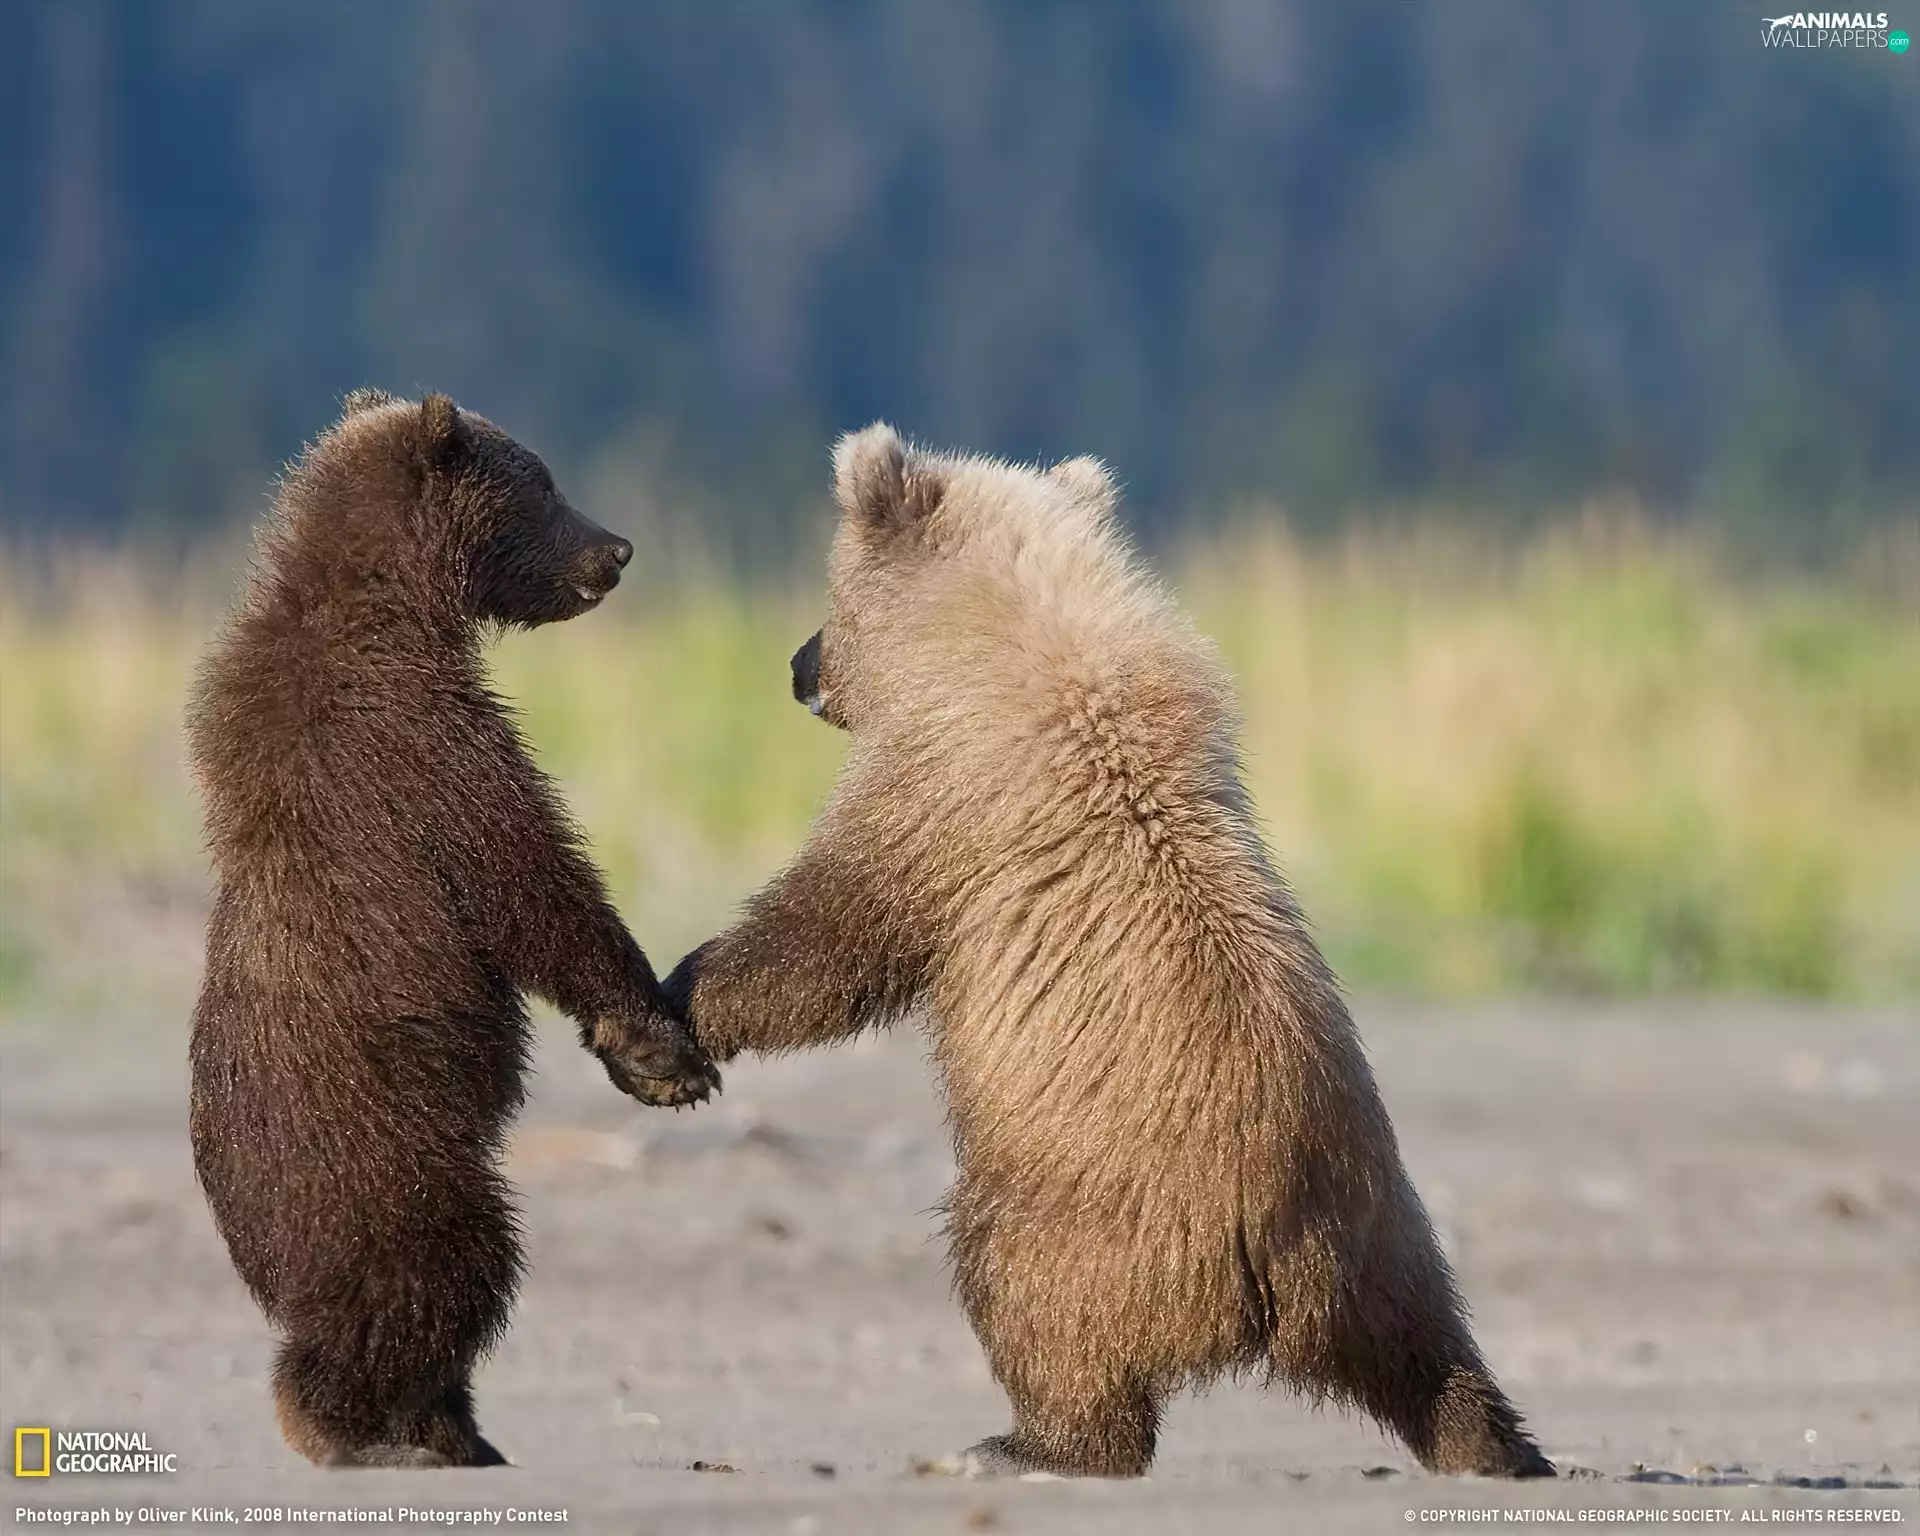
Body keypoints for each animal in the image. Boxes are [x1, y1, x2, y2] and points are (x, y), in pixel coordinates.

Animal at [186, 390, 719, 1469]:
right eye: (545, 484)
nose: (617, 548)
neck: (395, 604)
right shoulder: (414, 736)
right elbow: (526, 878)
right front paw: (655, 1047)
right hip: (389, 1157)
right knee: (444, 1266)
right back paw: (379, 1425)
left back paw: (452, 1425)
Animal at [664, 424, 1553, 1480]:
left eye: (829, 595)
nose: (797, 665)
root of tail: (1283, 1264)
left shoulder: (949, 800)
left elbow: (832, 936)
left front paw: (681, 998)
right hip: (1390, 1234)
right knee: (1429, 1350)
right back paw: (1498, 1445)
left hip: (1092, 1212)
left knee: (1028, 1296)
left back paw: (1030, 1440)